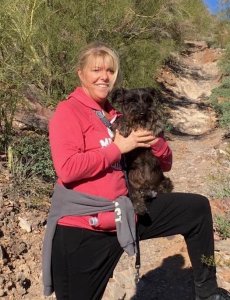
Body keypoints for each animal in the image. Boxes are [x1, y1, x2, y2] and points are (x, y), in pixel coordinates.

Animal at [110, 87, 173, 216]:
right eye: (132, 100)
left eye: (147, 100)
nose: (143, 113)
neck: (139, 124)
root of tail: (146, 187)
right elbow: (120, 119)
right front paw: (123, 125)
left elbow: (156, 118)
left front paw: (156, 124)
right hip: (129, 184)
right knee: (135, 196)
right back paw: (140, 206)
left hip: (165, 181)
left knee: (160, 189)